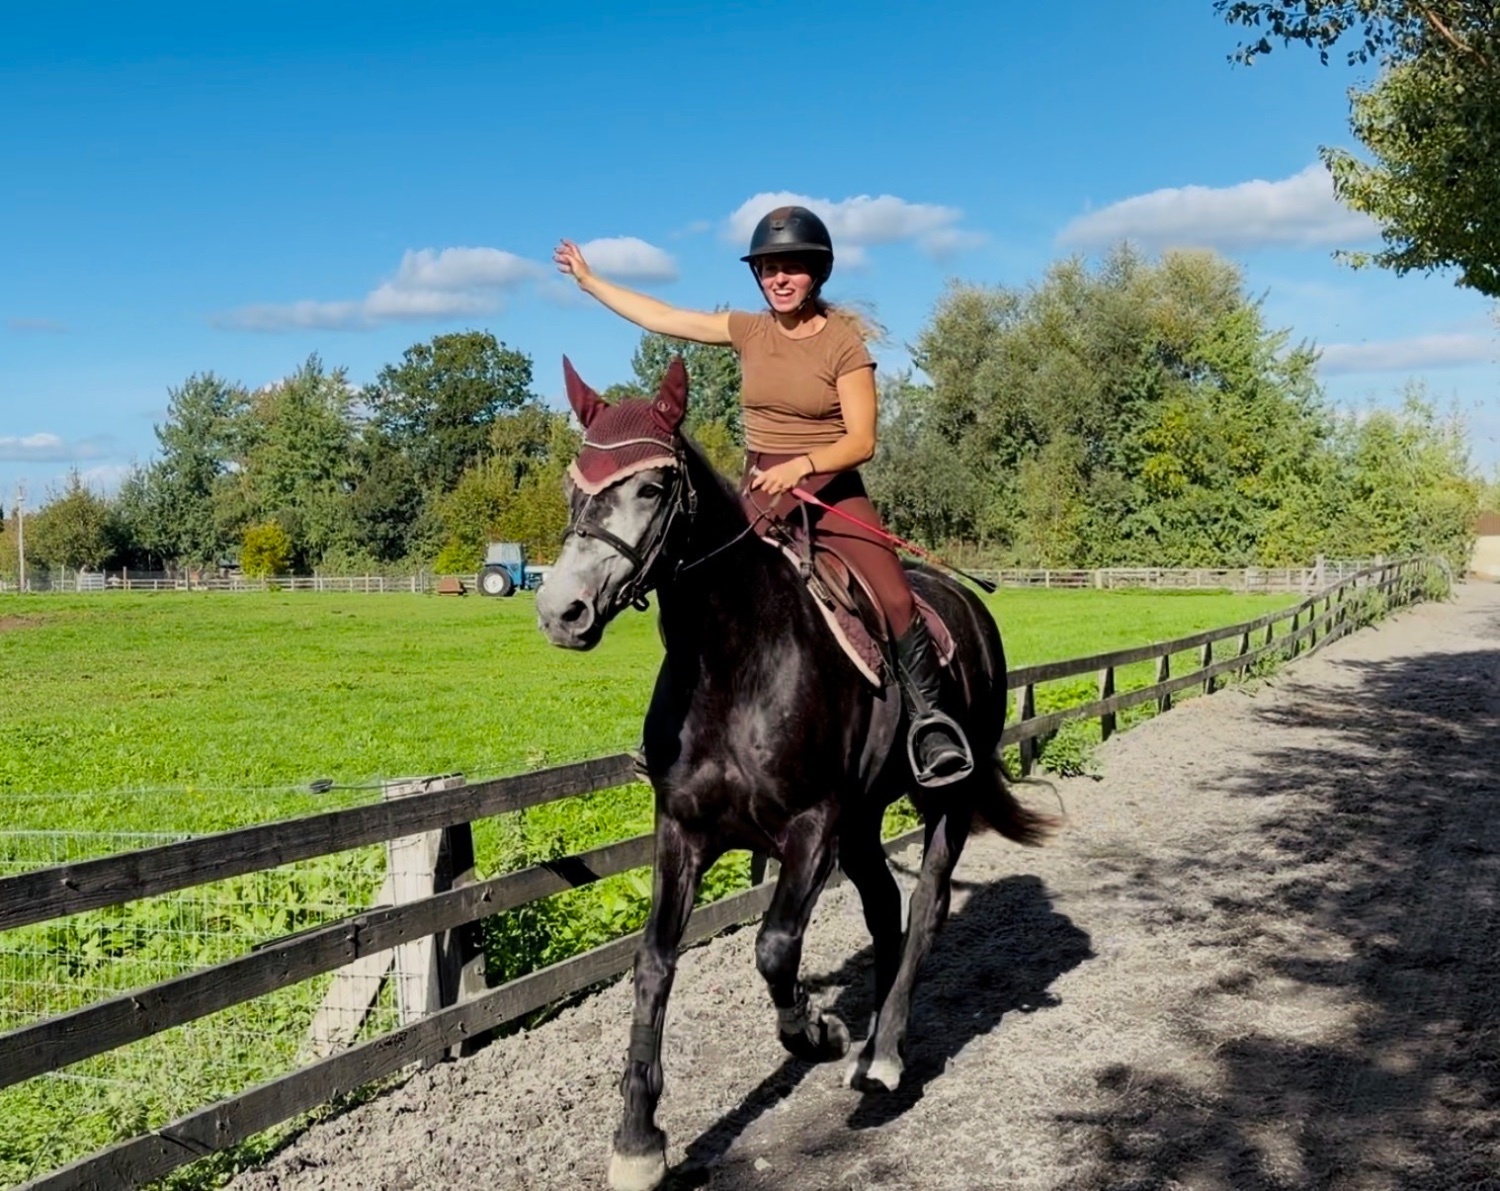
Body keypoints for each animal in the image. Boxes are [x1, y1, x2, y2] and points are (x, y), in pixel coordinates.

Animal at [535, 357, 1051, 1191]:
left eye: (651, 487)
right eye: (571, 485)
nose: (562, 610)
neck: (734, 660)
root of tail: (966, 606)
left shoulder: (810, 827)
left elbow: (774, 947)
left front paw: (816, 1030)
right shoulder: (682, 829)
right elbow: (653, 963)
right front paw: (638, 1138)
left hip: (938, 800)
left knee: (927, 905)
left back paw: (882, 1051)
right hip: (866, 822)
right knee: (886, 907)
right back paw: (875, 1040)